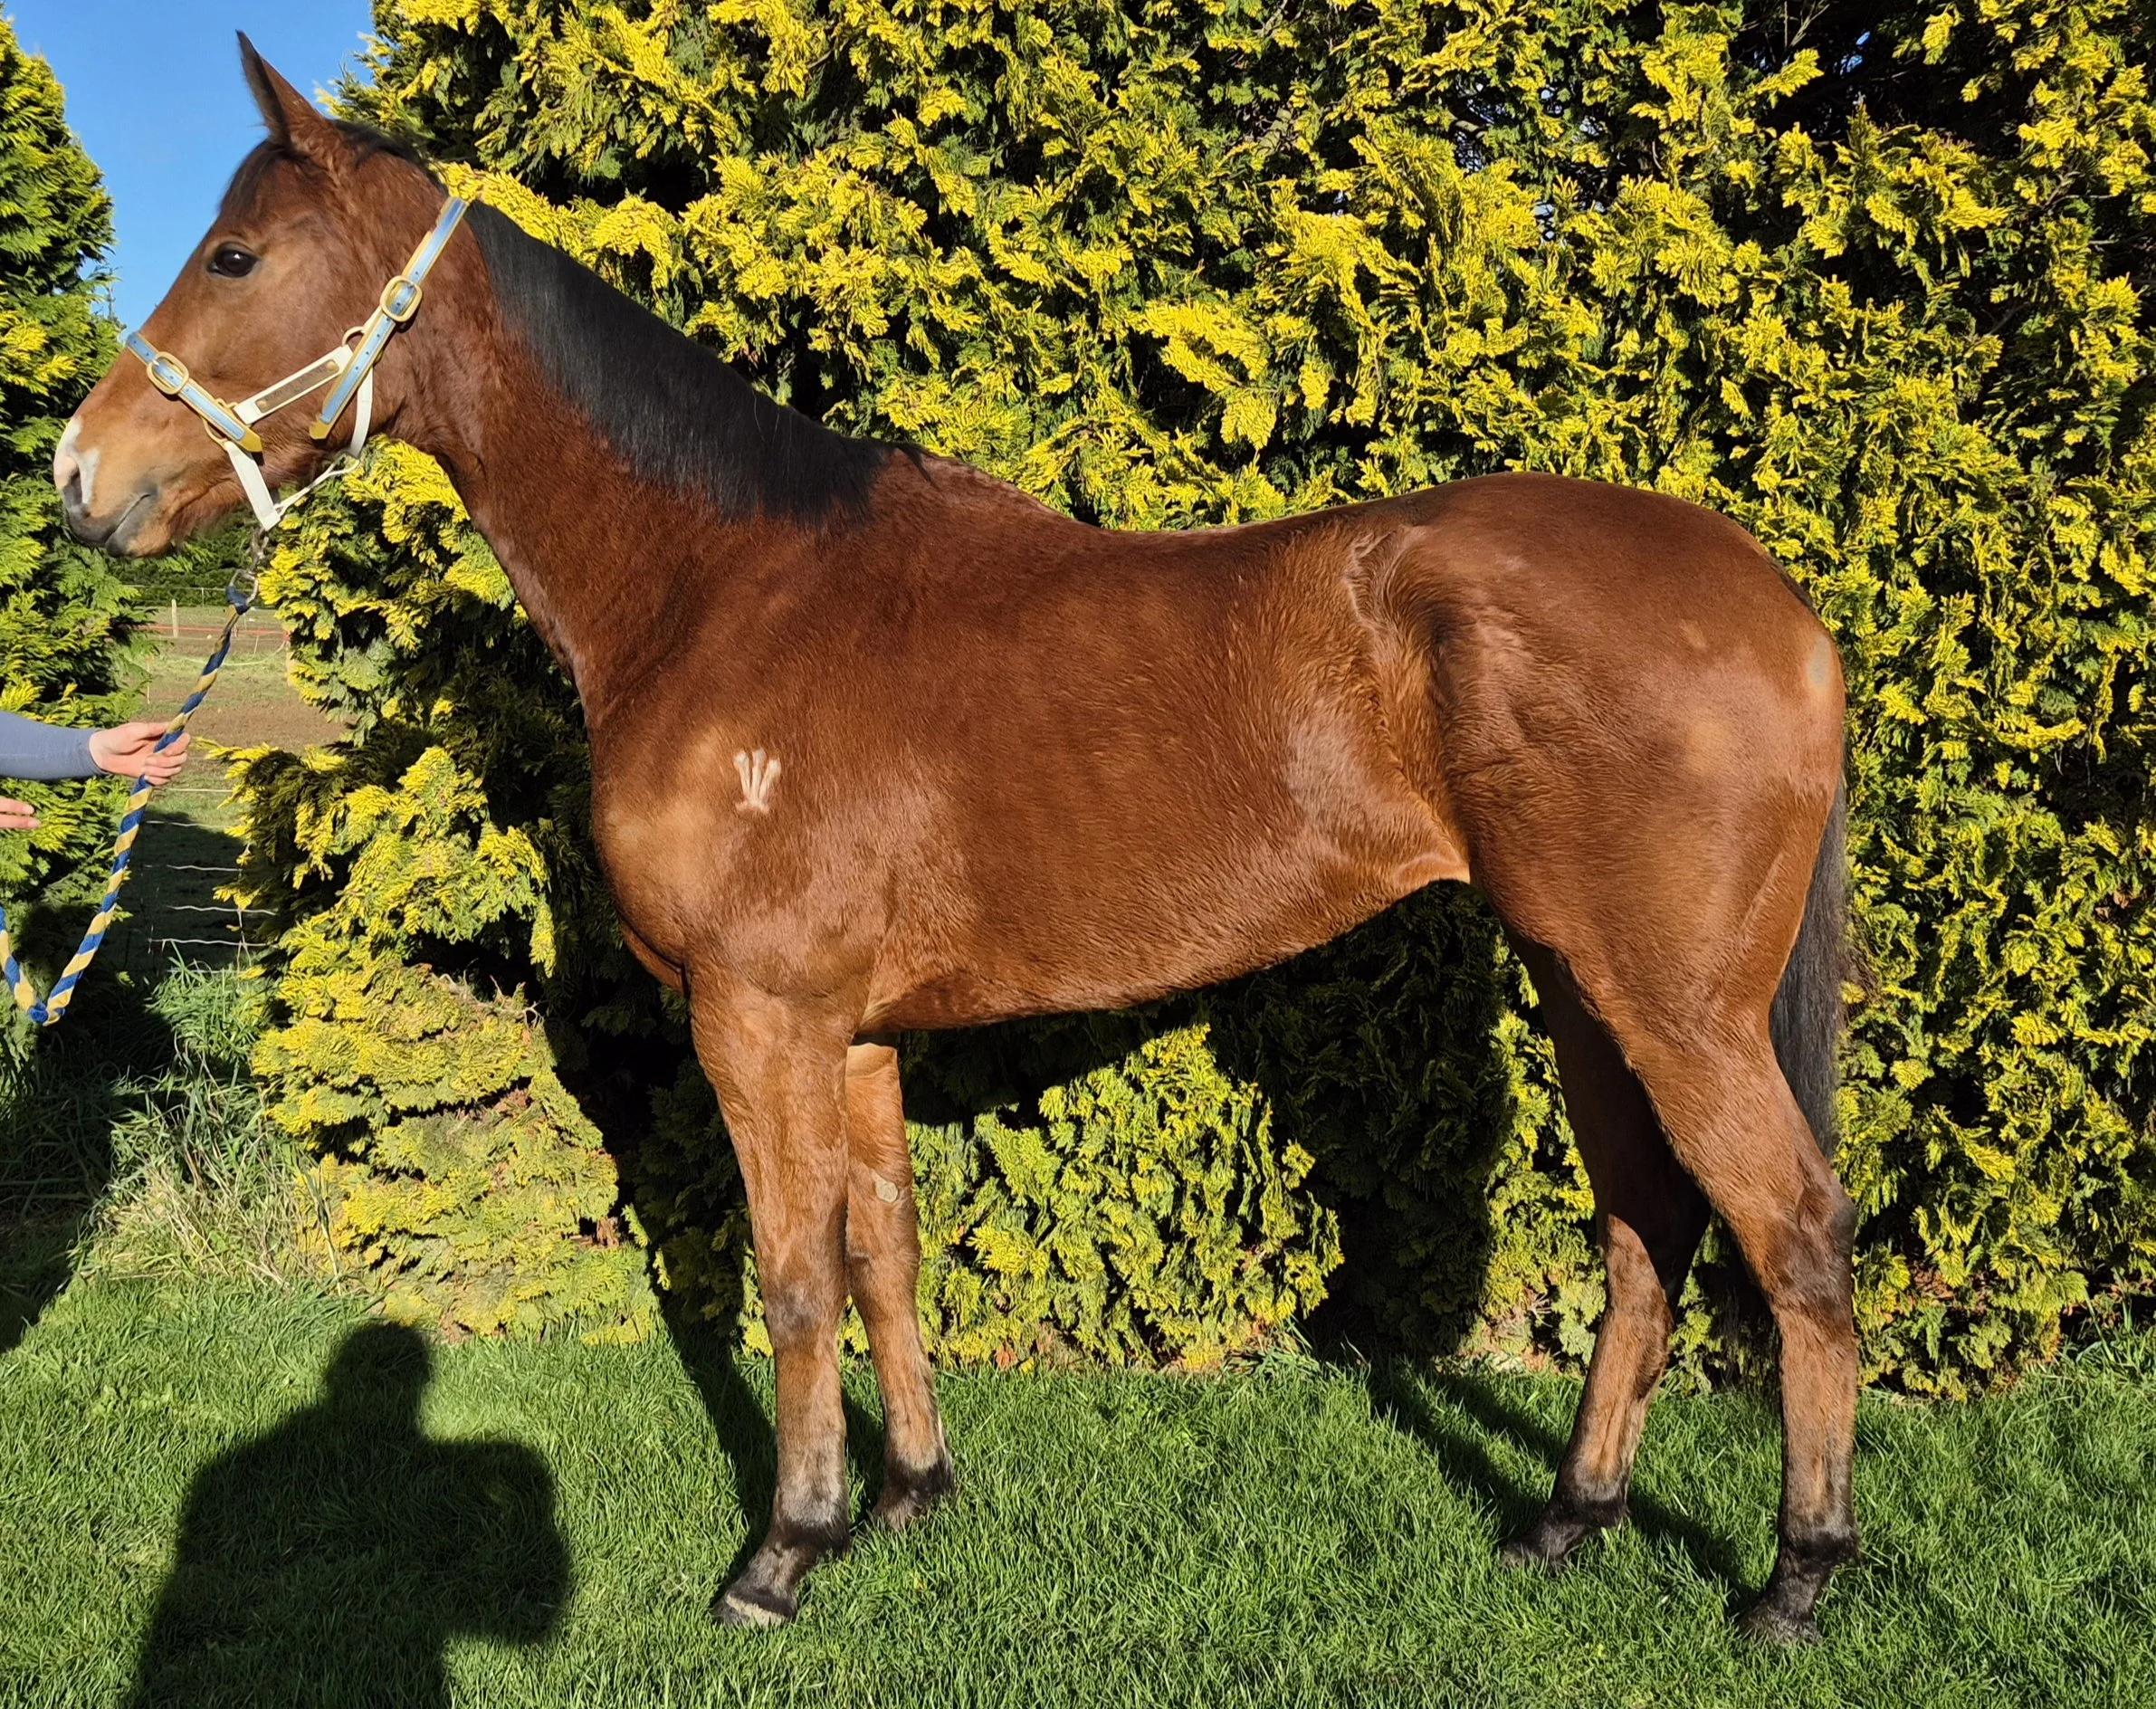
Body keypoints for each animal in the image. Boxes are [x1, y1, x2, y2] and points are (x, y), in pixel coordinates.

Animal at [55, 41, 1859, 1644]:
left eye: (234, 252)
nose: (81, 476)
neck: (723, 589)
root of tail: (1776, 608)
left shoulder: (758, 1019)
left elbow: (792, 1277)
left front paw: (781, 1552)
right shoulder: (847, 1034)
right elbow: (883, 1256)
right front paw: (907, 1497)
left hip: (1675, 1010)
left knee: (1795, 1239)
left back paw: (1795, 1581)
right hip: (1580, 989)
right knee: (1646, 1234)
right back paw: (1570, 1519)